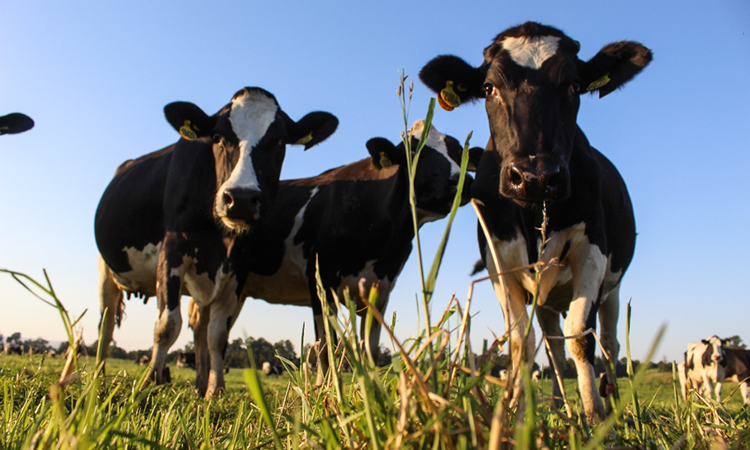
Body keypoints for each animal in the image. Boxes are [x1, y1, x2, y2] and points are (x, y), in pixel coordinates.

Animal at [95, 87, 340, 398]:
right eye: (217, 137)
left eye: (279, 141)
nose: (241, 198)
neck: (219, 237)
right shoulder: (172, 248)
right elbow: (167, 325)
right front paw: (149, 381)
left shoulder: (238, 265)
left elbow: (218, 334)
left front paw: (215, 391)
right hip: (105, 268)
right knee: (105, 324)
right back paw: (97, 376)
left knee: (199, 326)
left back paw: (200, 384)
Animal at [188, 119, 482, 386]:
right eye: (412, 150)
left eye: (459, 151)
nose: (462, 181)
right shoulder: (321, 280)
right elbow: (326, 343)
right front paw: (326, 390)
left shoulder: (381, 289)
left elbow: (370, 350)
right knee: (208, 329)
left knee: (205, 326)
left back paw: (203, 383)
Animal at [420, 21, 656, 422]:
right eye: (489, 88)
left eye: (574, 86)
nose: (536, 177)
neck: (533, 211)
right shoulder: (498, 261)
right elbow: (521, 342)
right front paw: (516, 414)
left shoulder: (592, 249)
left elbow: (581, 335)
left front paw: (596, 417)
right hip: (545, 300)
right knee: (552, 346)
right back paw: (559, 405)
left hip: (612, 287)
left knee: (608, 343)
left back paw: (610, 405)